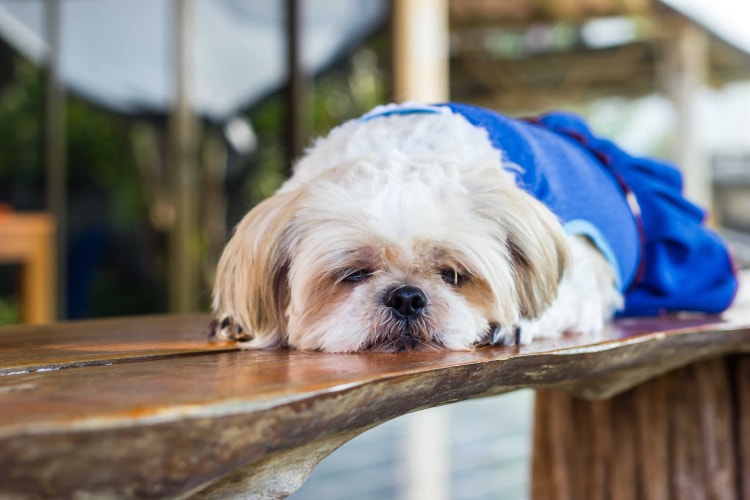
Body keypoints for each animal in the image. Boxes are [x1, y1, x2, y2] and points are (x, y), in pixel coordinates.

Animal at [212, 100, 740, 352]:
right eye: (353, 275)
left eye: (453, 276)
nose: (407, 297)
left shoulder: (586, 279)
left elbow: (560, 299)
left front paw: (516, 322)